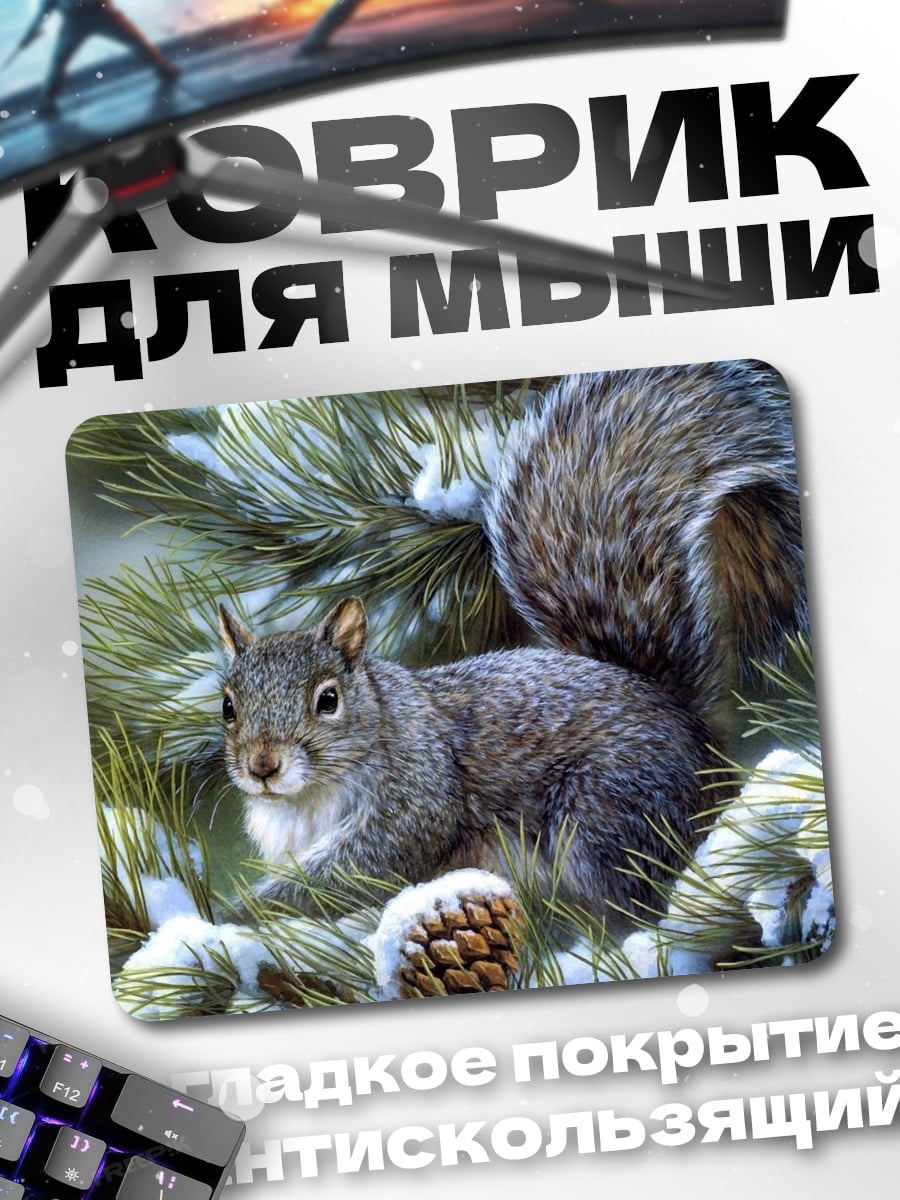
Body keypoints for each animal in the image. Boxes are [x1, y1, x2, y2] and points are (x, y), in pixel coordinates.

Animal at [217, 360, 808, 928]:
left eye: (328, 700)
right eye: (227, 706)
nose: (263, 767)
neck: (307, 797)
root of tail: (695, 735)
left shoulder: (416, 793)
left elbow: (361, 867)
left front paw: (240, 912)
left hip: (608, 812)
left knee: (628, 897)